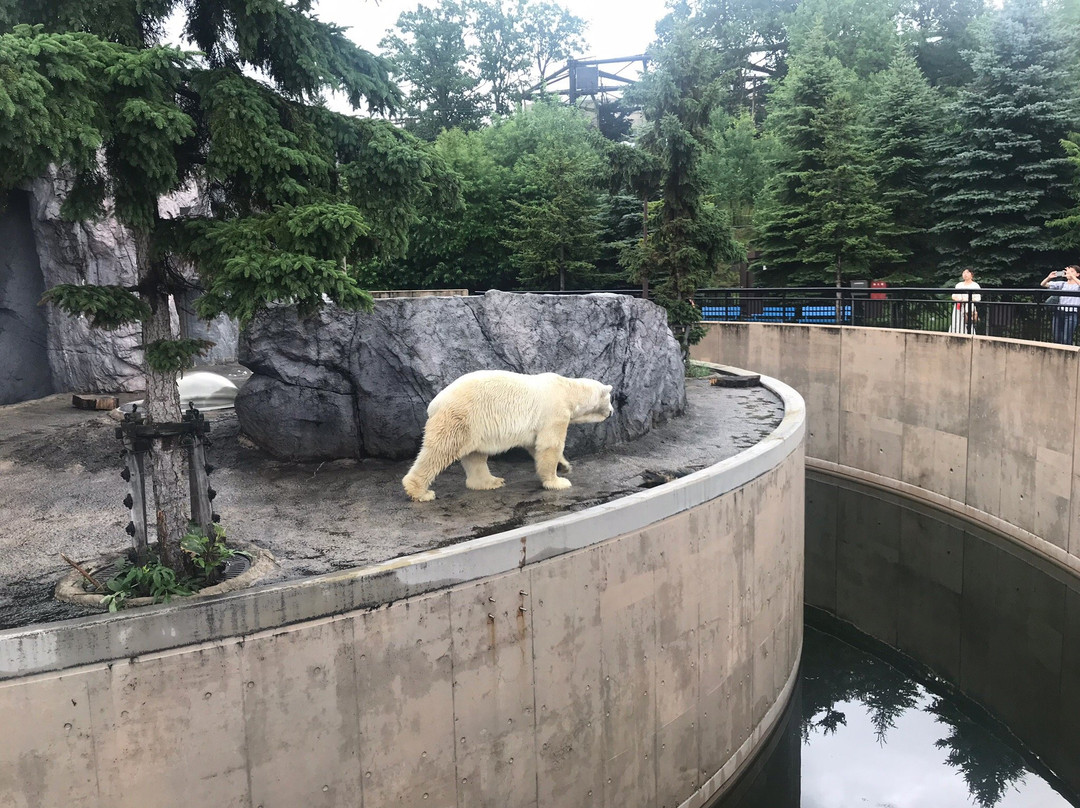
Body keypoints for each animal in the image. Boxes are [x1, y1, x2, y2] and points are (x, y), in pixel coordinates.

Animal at [401, 371, 613, 499]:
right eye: (610, 398)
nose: (611, 412)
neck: (567, 388)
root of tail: (434, 403)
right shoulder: (554, 411)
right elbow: (550, 444)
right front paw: (557, 482)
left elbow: (535, 446)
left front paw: (564, 466)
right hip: (461, 417)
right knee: (440, 450)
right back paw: (420, 492)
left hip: (476, 428)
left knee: (475, 456)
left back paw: (491, 482)